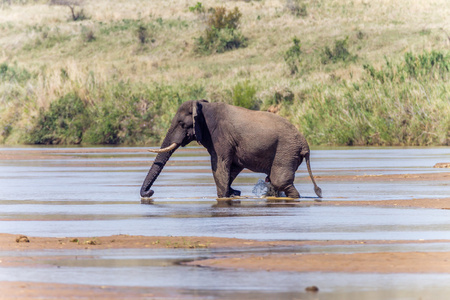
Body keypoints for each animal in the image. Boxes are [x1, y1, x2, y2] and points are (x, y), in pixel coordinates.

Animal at [139, 100, 322, 199]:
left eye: (182, 124)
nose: (150, 192)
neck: (203, 106)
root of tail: (305, 146)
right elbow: (232, 168)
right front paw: (233, 192)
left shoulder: (220, 136)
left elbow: (219, 166)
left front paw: (224, 196)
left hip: (286, 151)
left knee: (280, 181)